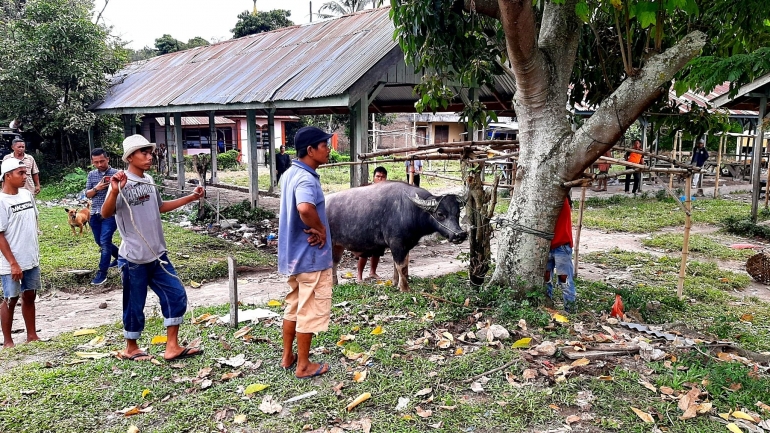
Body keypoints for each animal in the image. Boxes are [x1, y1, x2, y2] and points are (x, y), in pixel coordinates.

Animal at [326, 179, 464, 290]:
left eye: (457, 213)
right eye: (440, 214)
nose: (460, 234)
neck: (412, 210)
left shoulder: (404, 245)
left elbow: (401, 266)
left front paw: (395, 283)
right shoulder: (397, 243)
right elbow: (401, 266)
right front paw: (404, 288)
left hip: (338, 245)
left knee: (334, 262)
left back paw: (334, 283)